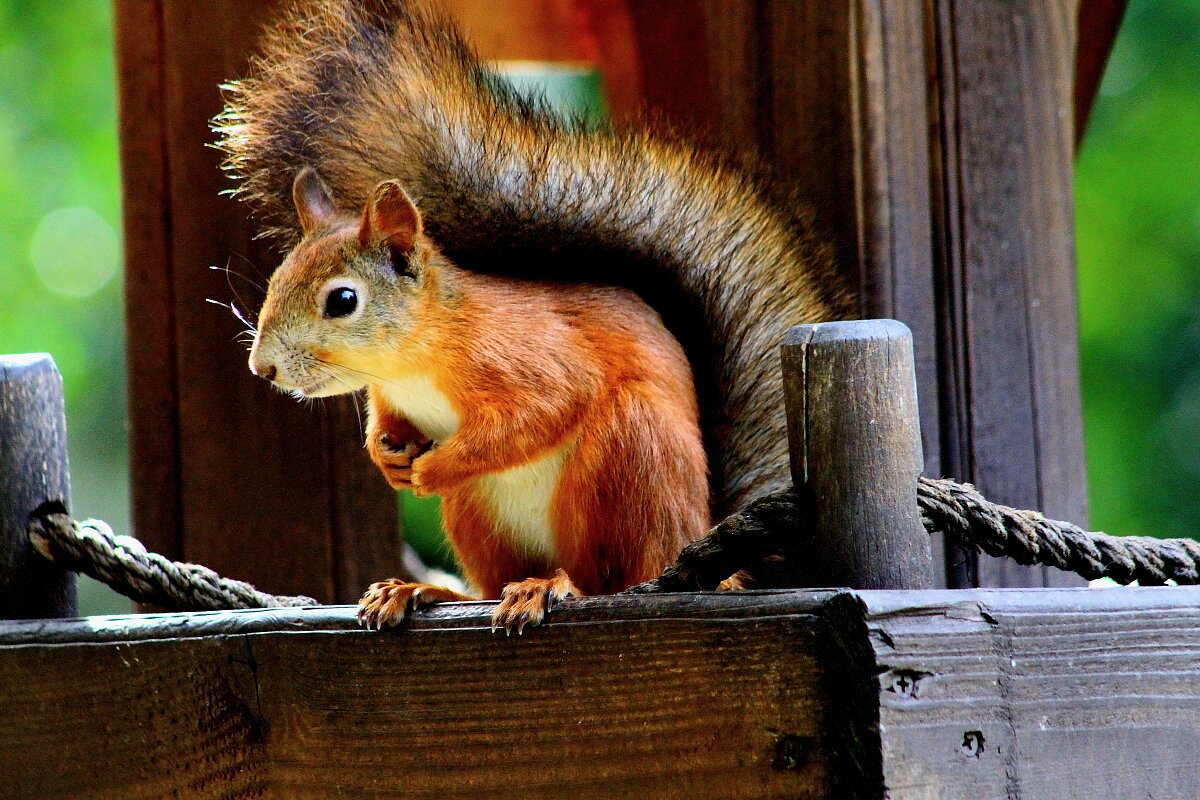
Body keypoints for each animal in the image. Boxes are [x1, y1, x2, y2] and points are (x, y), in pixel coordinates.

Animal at [218, 0, 854, 628]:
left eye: (342, 301)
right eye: (277, 280)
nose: (262, 368)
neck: (412, 362)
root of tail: (702, 547)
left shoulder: (526, 358)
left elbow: (540, 413)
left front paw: (432, 470)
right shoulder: (391, 398)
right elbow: (388, 428)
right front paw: (386, 458)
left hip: (626, 457)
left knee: (612, 578)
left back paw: (550, 585)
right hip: (481, 517)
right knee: (489, 583)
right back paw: (423, 590)